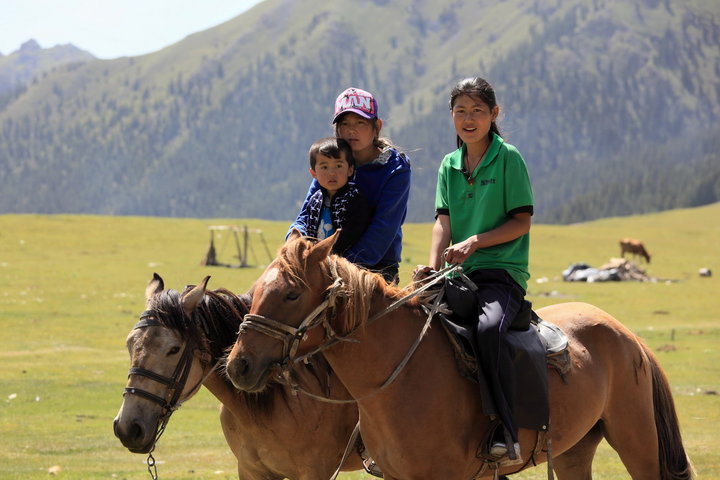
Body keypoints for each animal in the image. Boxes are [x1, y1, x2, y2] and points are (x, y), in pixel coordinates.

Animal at [225, 234, 692, 480]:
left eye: (291, 293)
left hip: (637, 442)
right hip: (575, 450)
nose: (238, 365)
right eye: (255, 289)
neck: (399, 379)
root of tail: (627, 335)